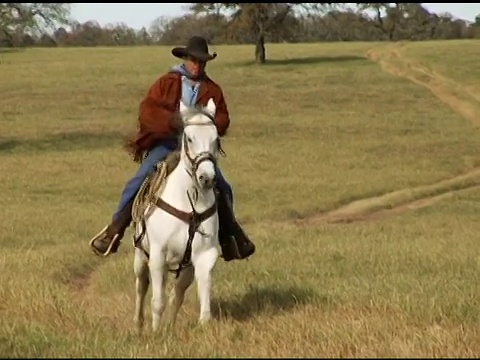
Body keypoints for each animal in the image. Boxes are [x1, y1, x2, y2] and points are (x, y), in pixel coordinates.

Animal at [134, 97, 222, 330]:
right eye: (189, 138)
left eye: (216, 139)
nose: (207, 178)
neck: (189, 201)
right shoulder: (157, 256)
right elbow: (157, 301)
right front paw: (156, 332)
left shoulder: (204, 255)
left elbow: (200, 296)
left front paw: (201, 325)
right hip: (140, 256)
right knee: (141, 286)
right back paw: (138, 324)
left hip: (184, 267)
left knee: (177, 293)